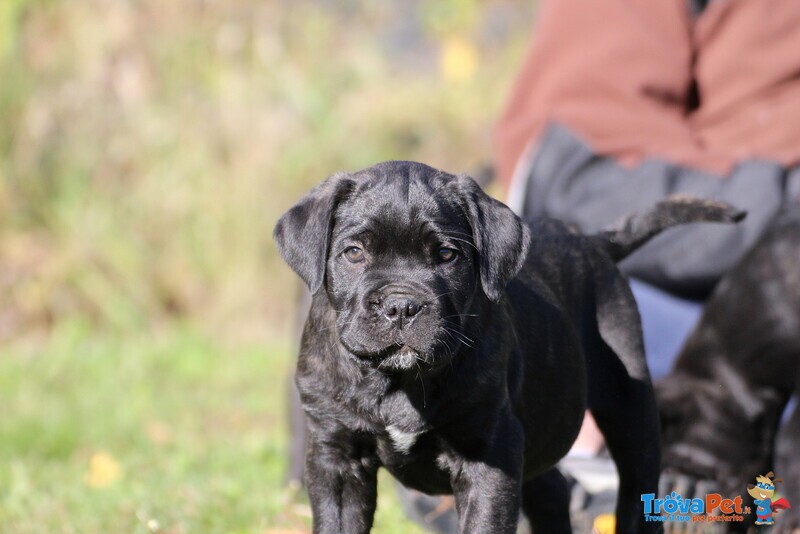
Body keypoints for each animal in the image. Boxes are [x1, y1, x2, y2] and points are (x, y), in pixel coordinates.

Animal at [274, 161, 744, 532]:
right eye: (354, 253)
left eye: (447, 255)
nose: (401, 305)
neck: (398, 380)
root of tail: (593, 241)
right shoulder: (336, 457)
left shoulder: (489, 456)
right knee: (553, 488)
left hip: (629, 407)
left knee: (637, 489)